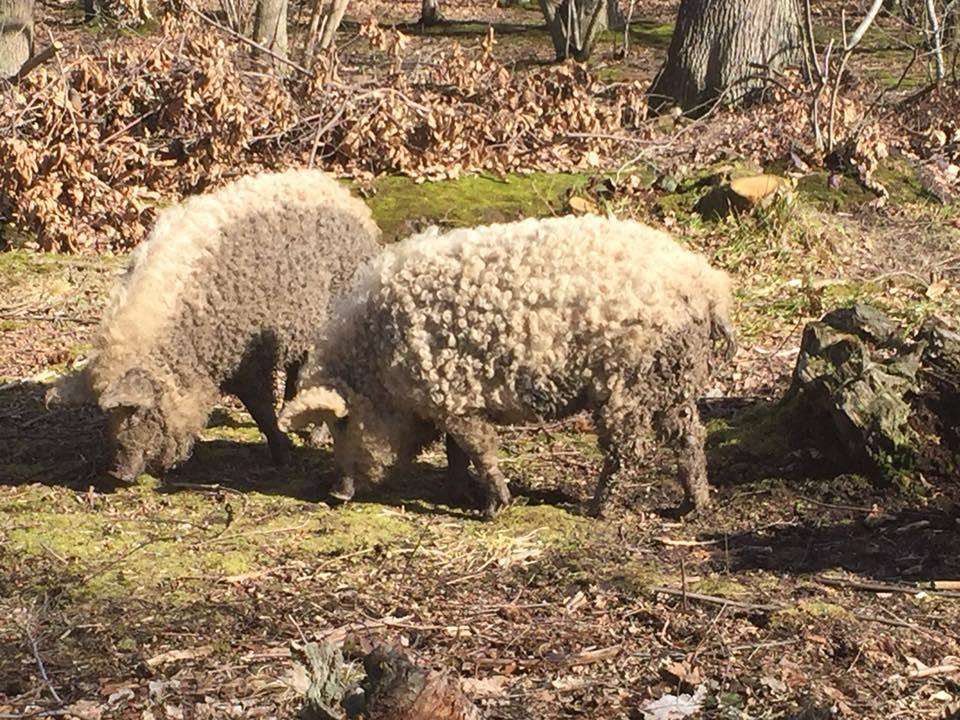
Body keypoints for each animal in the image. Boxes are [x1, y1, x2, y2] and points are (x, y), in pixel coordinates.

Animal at [47, 169, 380, 480]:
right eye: (108, 418)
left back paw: (314, 439)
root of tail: (343, 195)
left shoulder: (248, 354)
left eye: (137, 412)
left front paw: (285, 457)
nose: (117, 473)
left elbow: (260, 407)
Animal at [280, 214, 736, 516]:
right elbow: (456, 452)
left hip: (629, 383)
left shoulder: (451, 398)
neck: (378, 359)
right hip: (672, 379)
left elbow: (480, 449)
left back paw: (595, 508)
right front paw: (459, 493)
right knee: (691, 435)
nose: (335, 494)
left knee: (631, 449)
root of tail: (707, 285)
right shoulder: (455, 400)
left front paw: (492, 508)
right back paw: (694, 507)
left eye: (341, 423)